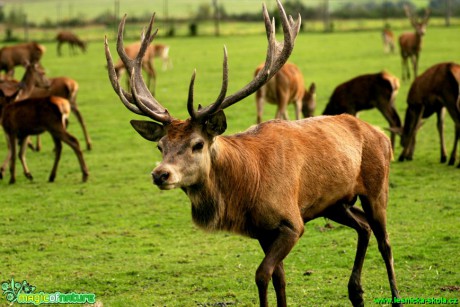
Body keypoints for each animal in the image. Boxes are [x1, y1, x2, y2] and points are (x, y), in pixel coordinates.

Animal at [104, 1, 402, 306]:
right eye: (160, 146)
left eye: (198, 144)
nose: (160, 174)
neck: (248, 186)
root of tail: (381, 135)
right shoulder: (263, 230)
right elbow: (280, 278)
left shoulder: (292, 223)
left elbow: (262, 274)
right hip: (336, 203)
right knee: (363, 227)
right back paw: (356, 292)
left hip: (376, 189)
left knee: (385, 241)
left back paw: (394, 295)